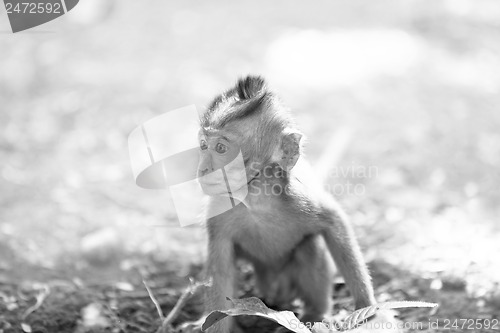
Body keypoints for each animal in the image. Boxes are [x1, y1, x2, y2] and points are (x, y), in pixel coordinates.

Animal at [197, 76, 374, 332]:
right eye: (203, 145)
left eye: (221, 148)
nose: (203, 169)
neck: (256, 199)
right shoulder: (218, 213)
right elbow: (221, 271)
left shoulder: (301, 198)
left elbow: (335, 223)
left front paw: (368, 309)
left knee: (308, 247)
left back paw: (315, 313)